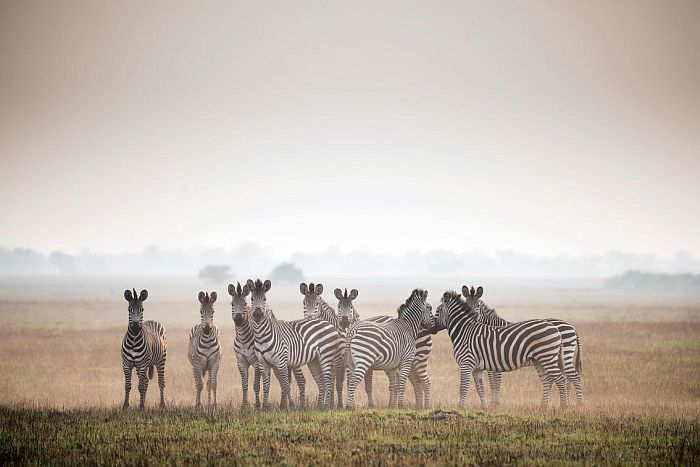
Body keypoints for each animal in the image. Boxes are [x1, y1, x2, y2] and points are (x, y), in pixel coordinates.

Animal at [248, 279, 340, 409]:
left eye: (264, 299)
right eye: (251, 299)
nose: (257, 315)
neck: (261, 337)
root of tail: (328, 323)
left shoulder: (281, 363)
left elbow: (286, 385)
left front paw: (290, 406)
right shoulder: (263, 364)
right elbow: (266, 386)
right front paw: (265, 407)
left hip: (326, 355)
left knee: (328, 381)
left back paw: (326, 407)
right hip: (314, 360)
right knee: (321, 382)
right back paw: (319, 407)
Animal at [430, 288, 569, 409]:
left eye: (437, 310)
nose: (431, 328)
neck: (464, 331)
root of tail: (554, 327)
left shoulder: (466, 363)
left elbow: (463, 387)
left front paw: (460, 407)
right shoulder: (477, 368)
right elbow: (480, 388)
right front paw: (485, 407)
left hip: (547, 357)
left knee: (561, 379)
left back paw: (563, 407)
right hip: (539, 360)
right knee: (547, 381)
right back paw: (543, 407)